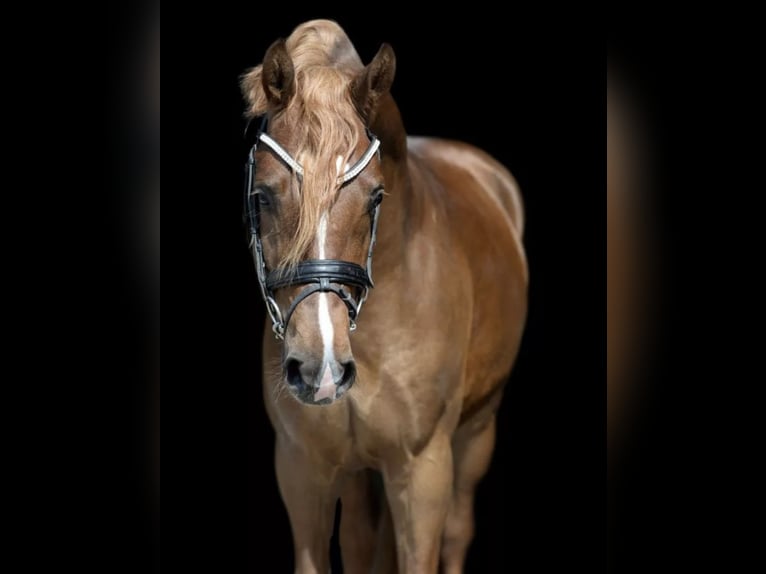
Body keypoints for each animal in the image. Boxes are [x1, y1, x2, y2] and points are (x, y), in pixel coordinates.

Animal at [244, 19, 528, 574]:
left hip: (476, 433)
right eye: (261, 196)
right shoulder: (302, 471)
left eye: (376, 196)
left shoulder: (422, 472)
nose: (320, 369)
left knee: (458, 533)